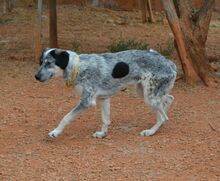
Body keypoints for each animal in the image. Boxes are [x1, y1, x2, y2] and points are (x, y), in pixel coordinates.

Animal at [35, 48, 177, 139]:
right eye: (41, 62)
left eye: (49, 63)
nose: (36, 77)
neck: (78, 67)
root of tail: (170, 63)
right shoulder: (104, 98)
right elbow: (105, 119)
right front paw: (102, 134)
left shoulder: (86, 102)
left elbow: (66, 117)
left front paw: (56, 132)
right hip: (144, 92)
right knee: (168, 100)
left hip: (149, 97)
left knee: (164, 116)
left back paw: (151, 131)